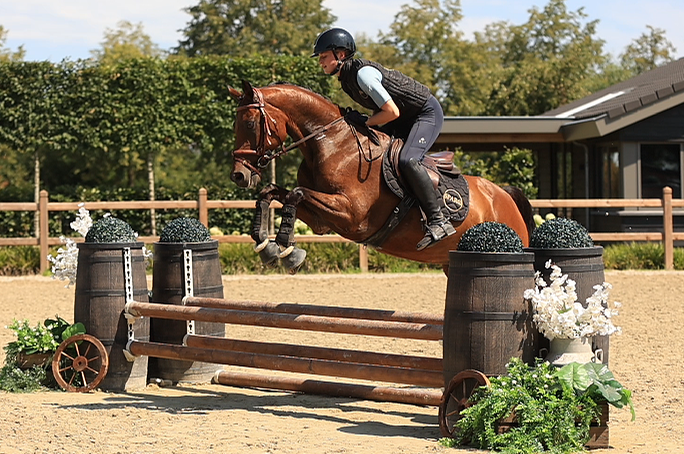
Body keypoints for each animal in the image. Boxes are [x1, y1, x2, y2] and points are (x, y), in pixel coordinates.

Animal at [228, 80, 534, 274]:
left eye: (251, 123)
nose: (239, 175)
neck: (331, 142)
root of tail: (503, 195)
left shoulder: (353, 215)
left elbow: (295, 193)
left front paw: (287, 251)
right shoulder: (322, 221)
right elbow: (270, 192)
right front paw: (266, 245)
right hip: (451, 262)